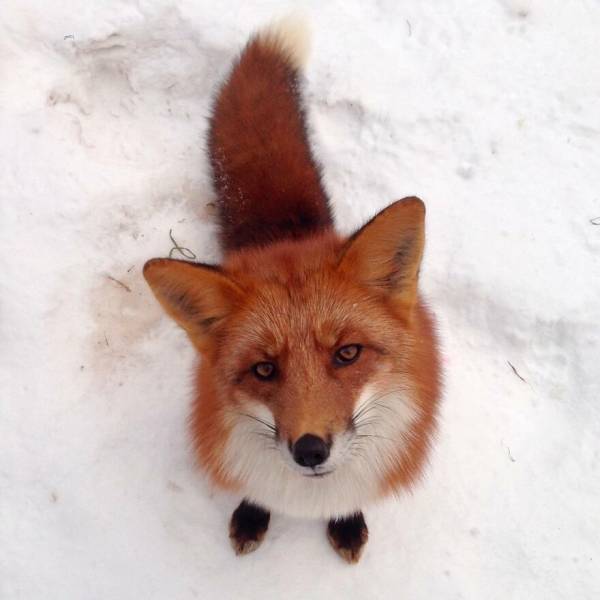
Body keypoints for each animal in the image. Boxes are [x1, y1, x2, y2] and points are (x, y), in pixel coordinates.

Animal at [142, 17, 438, 564]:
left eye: (348, 353)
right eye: (263, 369)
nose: (310, 450)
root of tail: (285, 234)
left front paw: (346, 522)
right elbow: (257, 497)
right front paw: (251, 517)